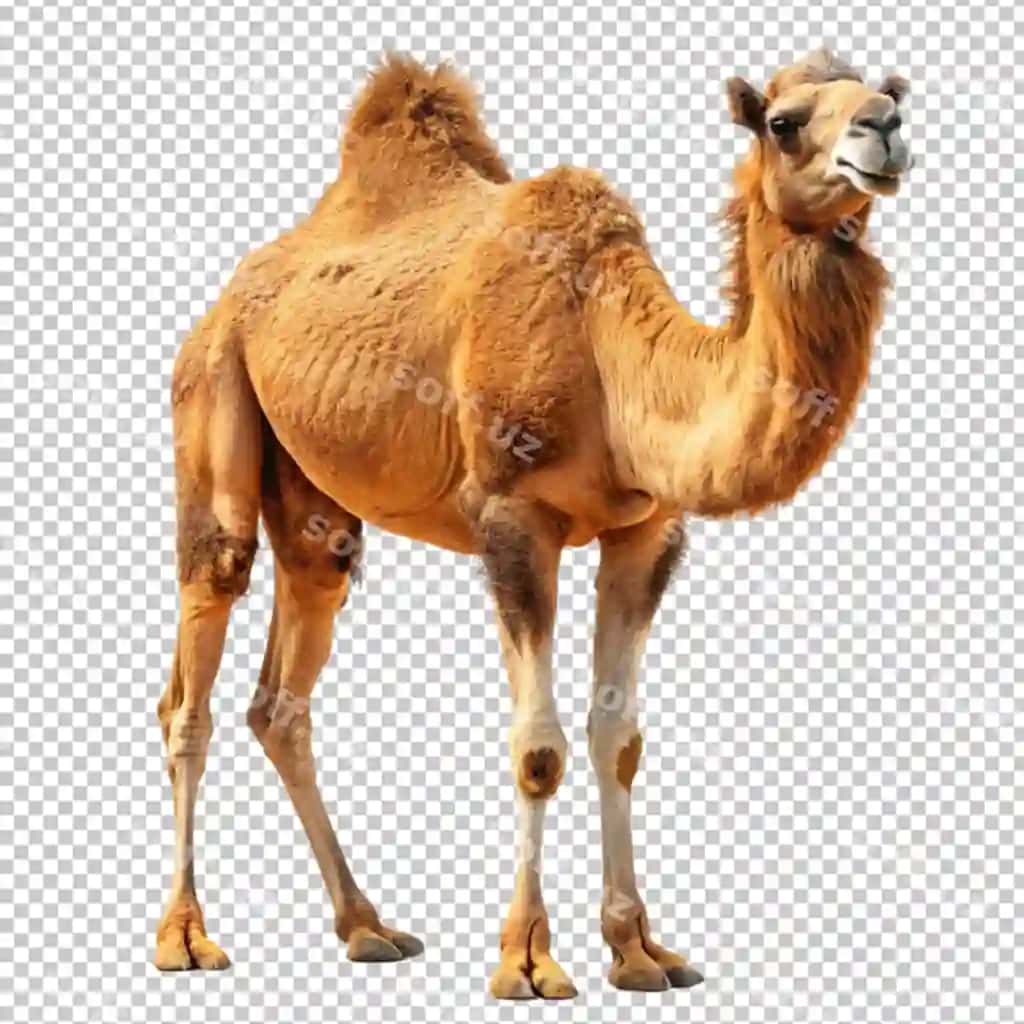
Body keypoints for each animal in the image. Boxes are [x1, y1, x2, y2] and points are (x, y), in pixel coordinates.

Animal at [154, 49, 912, 998]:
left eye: (889, 94)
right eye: (783, 122)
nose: (883, 129)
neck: (615, 359)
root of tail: (226, 299)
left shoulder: (647, 532)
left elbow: (618, 739)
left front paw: (639, 950)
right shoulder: (512, 517)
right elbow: (538, 747)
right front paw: (527, 958)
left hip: (316, 503)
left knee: (284, 691)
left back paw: (367, 926)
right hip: (212, 394)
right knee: (193, 676)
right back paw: (186, 938)